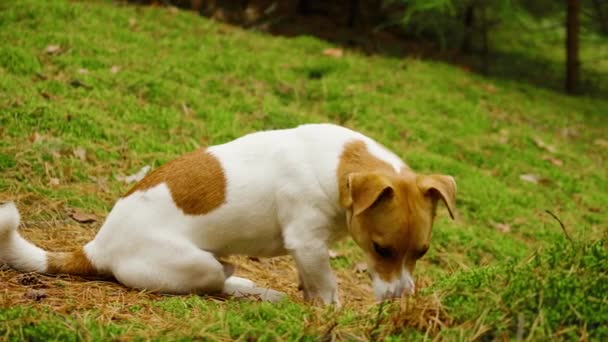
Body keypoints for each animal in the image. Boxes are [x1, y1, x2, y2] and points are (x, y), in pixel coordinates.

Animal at [0, 123, 454, 304]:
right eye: (381, 250)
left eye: (422, 253)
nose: (401, 300)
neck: (337, 166)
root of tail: (96, 248)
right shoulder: (308, 243)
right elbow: (326, 288)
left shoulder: (307, 252)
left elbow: (311, 283)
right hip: (197, 265)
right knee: (216, 283)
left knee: (229, 277)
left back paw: (261, 290)